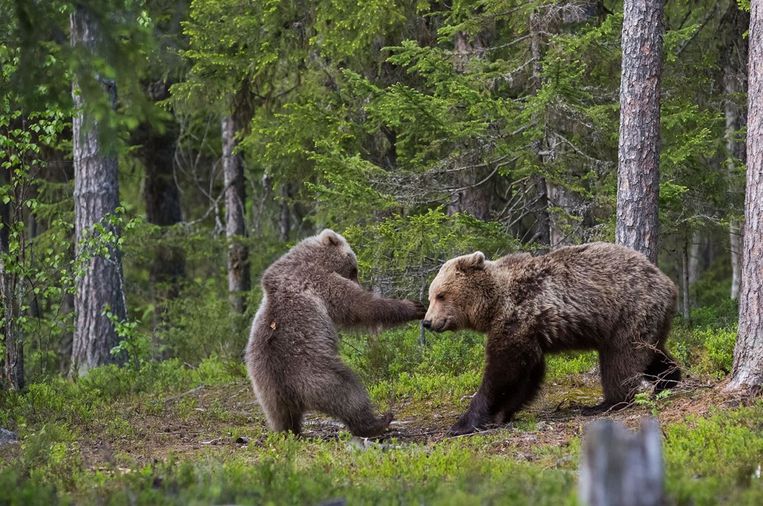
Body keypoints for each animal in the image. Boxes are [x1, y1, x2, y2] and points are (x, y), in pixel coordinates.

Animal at [246, 231, 426, 436]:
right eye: (354, 269)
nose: (359, 282)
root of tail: (290, 392)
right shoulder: (319, 280)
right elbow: (359, 306)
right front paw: (413, 307)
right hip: (318, 375)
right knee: (349, 394)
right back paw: (378, 422)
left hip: (266, 390)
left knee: (281, 417)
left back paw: (290, 432)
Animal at [424, 242, 680, 434]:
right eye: (431, 296)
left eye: (440, 295)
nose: (427, 322)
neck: (494, 305)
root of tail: (668, 283)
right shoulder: (528, 332)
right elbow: (526, 375)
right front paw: (501, 413)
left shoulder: (518, 317)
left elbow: (503, 371)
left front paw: (463, 423)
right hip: (646, 320)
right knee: (651, 352)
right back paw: (668, 379)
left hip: (628, 312)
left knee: (620, 358)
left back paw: (606, 403)